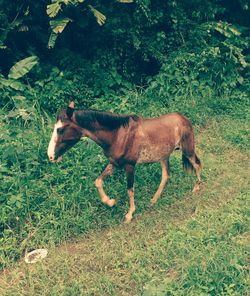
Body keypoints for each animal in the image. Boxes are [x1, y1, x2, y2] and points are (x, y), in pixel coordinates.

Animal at [47, 103, 202, 223]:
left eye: (60, 129)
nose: (50, 156)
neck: (118, 135)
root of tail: (183, 118)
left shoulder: (130, 166)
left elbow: (130, 189)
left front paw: (129, 214)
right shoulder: (114, 163)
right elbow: (98, 182)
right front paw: (110, 202)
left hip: (187, 150)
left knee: (197, 165)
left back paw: (196, 188)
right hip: (164, 157)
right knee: (166, 176)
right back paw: (153, 200)